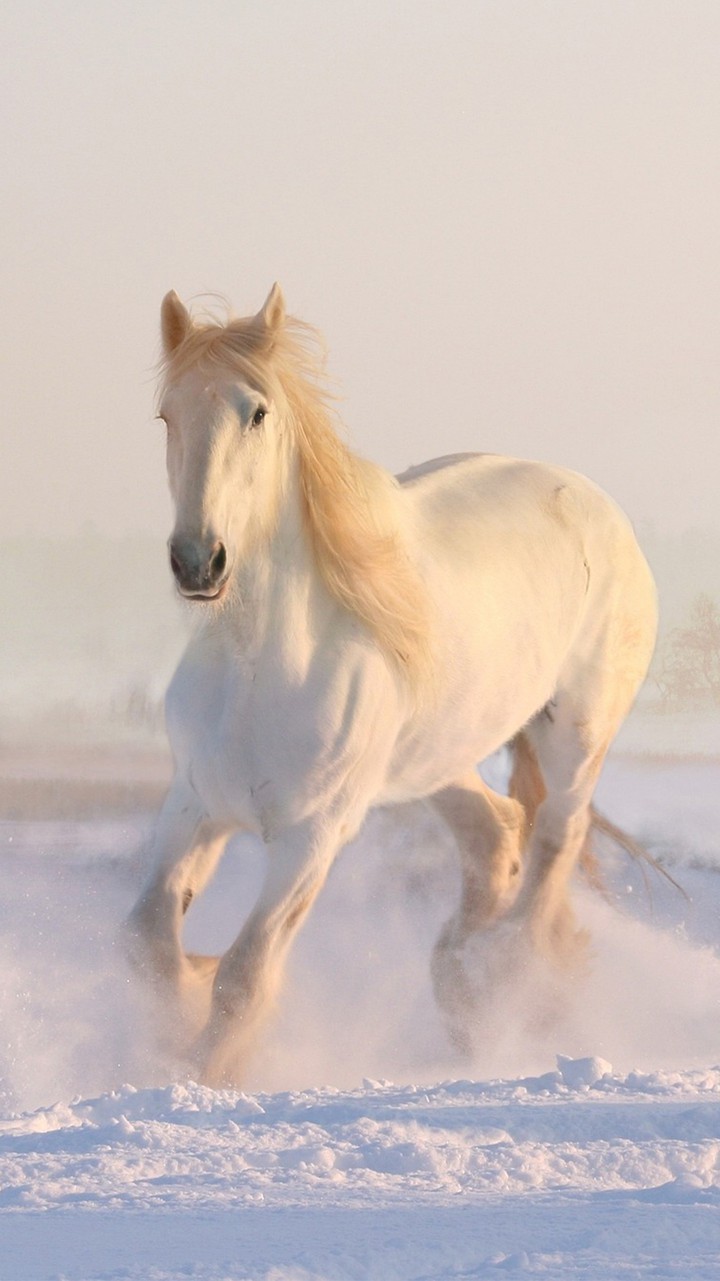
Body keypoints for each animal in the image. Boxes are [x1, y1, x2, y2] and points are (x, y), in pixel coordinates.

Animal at [126, 284, 657, 1086]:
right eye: (167, 414)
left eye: (257, 412)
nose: (198, 561)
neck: (259, 667)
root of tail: (599, 505)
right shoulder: (194, 804)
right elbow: (150, 944)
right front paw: (174, 1025)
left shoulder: (312, 836)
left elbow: (245, 976)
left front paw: (206, 1072)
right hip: (435, 759)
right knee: (497, 831)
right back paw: (462, 986)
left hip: (576, 733)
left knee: (555, 840)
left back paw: (505, 983)